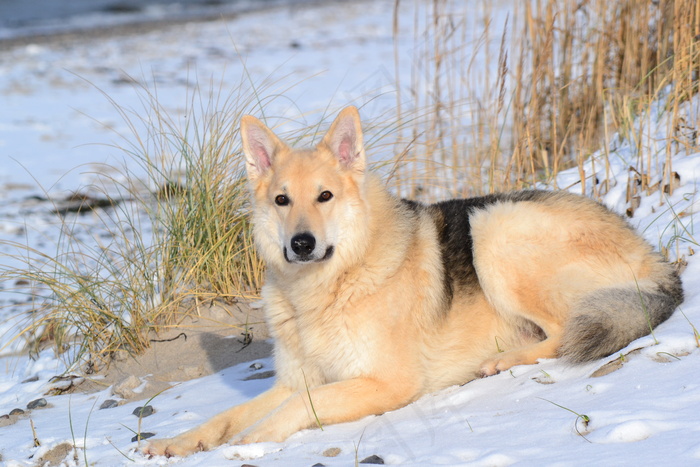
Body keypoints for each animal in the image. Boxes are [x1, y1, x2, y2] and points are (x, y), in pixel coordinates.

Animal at [144, 105, 684, 458]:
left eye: (324, 196)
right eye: (281, 200)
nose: (300, 243)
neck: (332, 285)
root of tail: (657, 261)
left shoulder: (386, 382)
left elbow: (298, 407)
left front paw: (250, 442)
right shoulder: (299, 378)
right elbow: (226, 415)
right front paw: (178, 441)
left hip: (494, 227)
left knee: (562, 333)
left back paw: (501, 360)